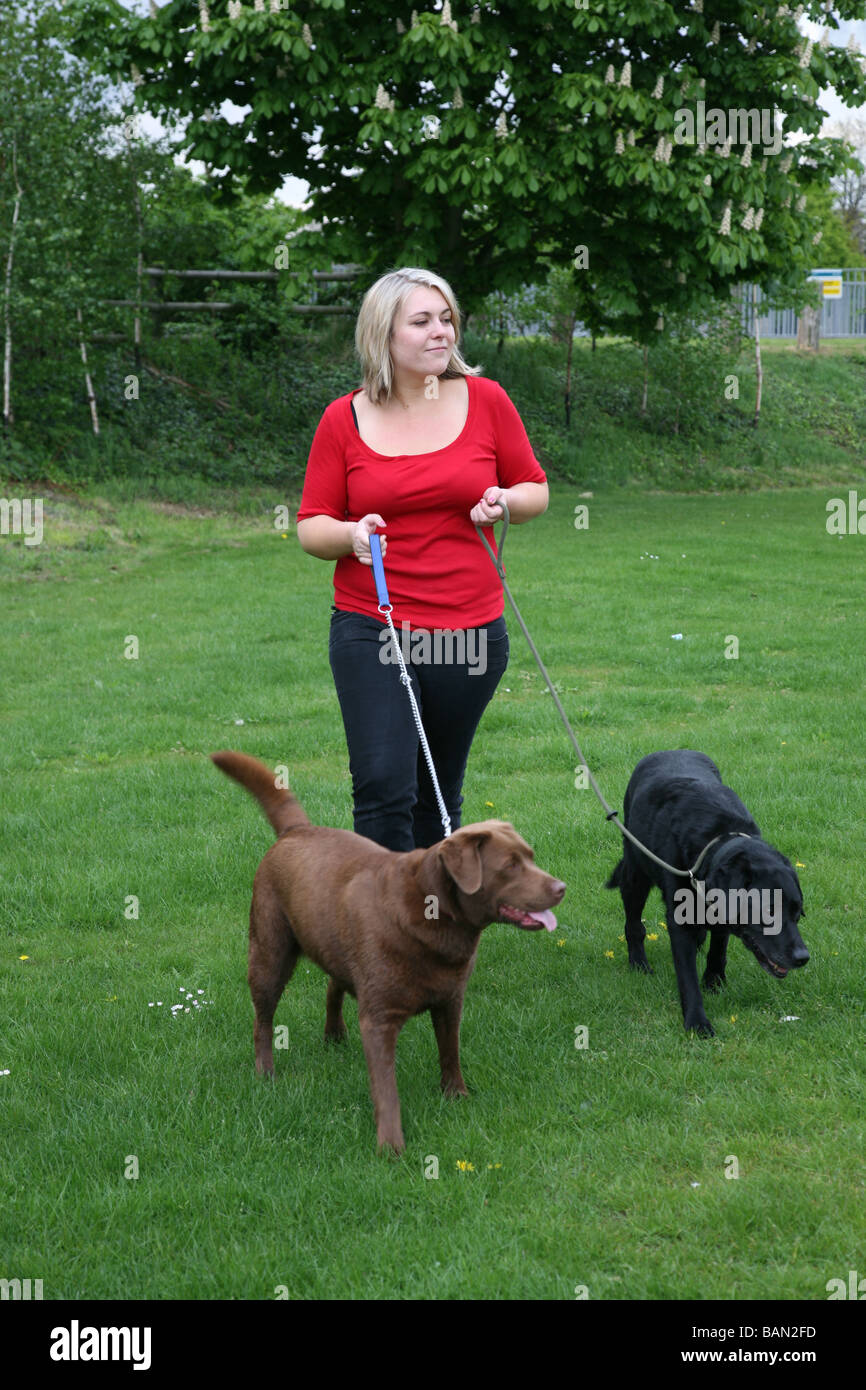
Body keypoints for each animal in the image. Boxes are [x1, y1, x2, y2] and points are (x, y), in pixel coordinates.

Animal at [211, 756, 569, 1156]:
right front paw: (391, 1146)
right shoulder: (379, 1021)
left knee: (334, 983)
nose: (561, 888)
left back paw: (334, 1034)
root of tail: (296, 830)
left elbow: (450, 1052)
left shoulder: (451, 1000)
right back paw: (265, 1072)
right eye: (509, 866)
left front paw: (456, 1096)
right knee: (262, 1018)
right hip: (270, 950)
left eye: (531, 857)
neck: (434, 912)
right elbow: (386, 1089)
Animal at [606, 750, 811, 1034]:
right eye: (768, 912)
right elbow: (687, 976)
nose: (803, 957)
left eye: (797, 913)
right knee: (634, 925)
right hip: (635, 872)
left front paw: (714, 982)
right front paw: (697, 1022)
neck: (715, 842)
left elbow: (718, 949)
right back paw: (639, 963)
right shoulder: (679, 921)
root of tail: (670, 750)